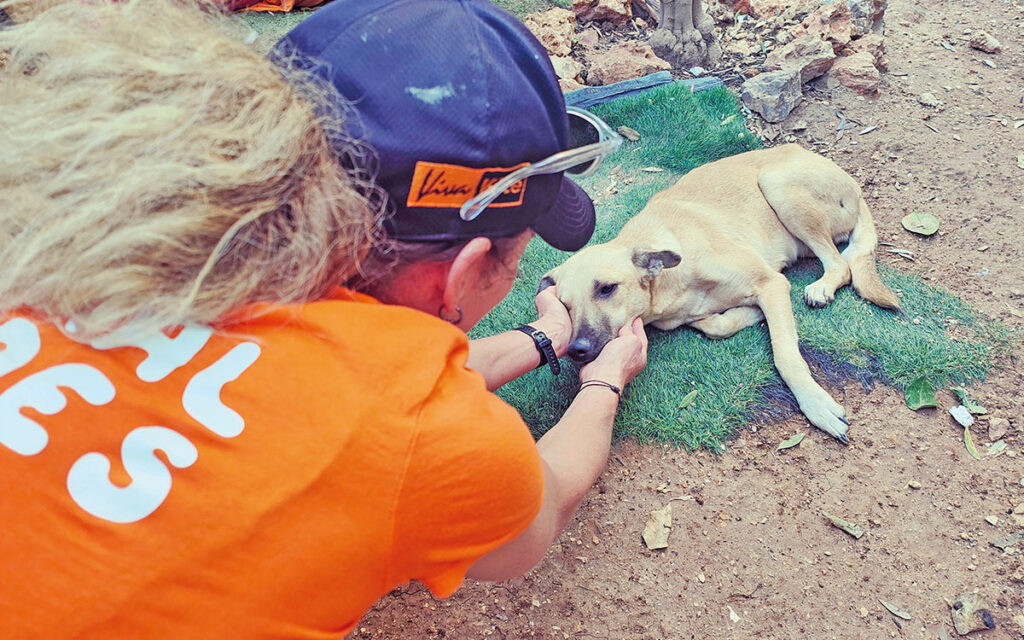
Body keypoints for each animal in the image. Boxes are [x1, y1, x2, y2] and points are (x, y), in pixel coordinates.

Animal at [540, 144, 901, 444]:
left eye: (606, 288)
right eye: (565, 305)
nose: (576, 350)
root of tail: (855, 188)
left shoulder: (770, 283)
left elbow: (786, 356)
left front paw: (816, 405)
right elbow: (715, 325)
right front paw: (744, 314)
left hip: (777, 185)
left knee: (840, 264)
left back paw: (823, 286)